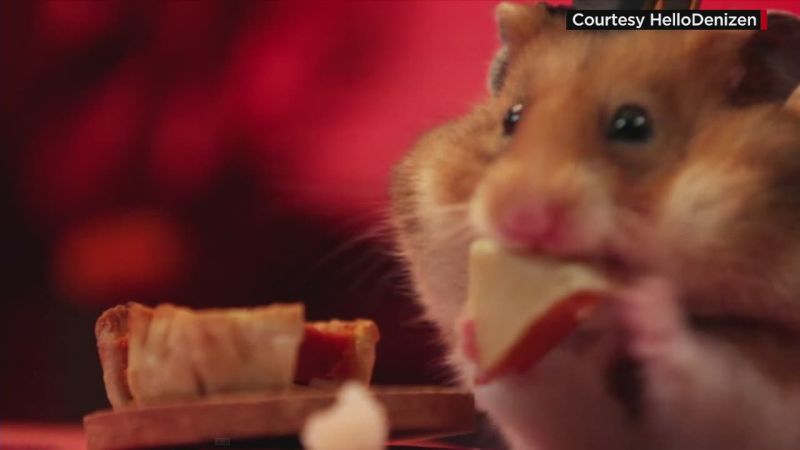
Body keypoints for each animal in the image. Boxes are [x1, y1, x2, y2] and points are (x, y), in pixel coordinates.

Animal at [390, 3, 800, 450]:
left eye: (633, 124)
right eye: (511, 119)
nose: (523, 219)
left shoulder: (762, 399)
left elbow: (717, 383)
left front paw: (649, 305)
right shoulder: (576, 422)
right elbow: (551, 389)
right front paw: (473, 333)